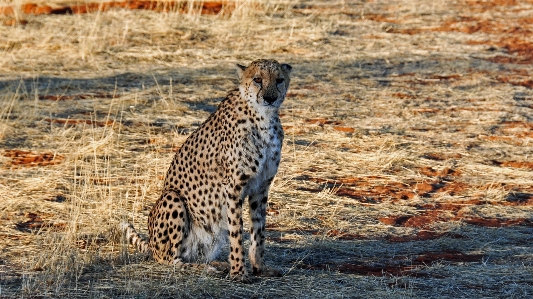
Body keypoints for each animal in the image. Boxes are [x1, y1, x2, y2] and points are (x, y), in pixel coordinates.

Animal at [121, 59, 290, 282]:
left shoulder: (261, 187)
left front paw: (259, 268)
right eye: (257, 79)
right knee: (170, 260)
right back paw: (206, 268)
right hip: (172, 198)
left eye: (279, 80)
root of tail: (151, 245)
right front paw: (238, 272)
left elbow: (259, 231)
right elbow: (237, 232)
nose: (270, 98)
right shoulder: (233, 187)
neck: (263, 118)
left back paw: (216, 264)